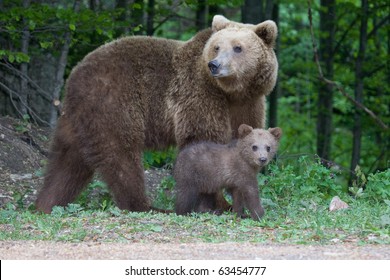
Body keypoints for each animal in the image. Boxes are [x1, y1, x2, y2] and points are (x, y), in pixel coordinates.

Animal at [35, 15, 276, 213]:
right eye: (217, 47)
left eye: (238, 48)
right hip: (115, 103)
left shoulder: (248, 105)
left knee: (67, 161)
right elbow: (204, 143)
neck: (231, 92)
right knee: (121, 155)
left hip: (77, 119)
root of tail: (75, 74)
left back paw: (46, 203)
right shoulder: (199, 95)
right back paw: (144, 205)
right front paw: (217, 204)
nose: (214, 65)